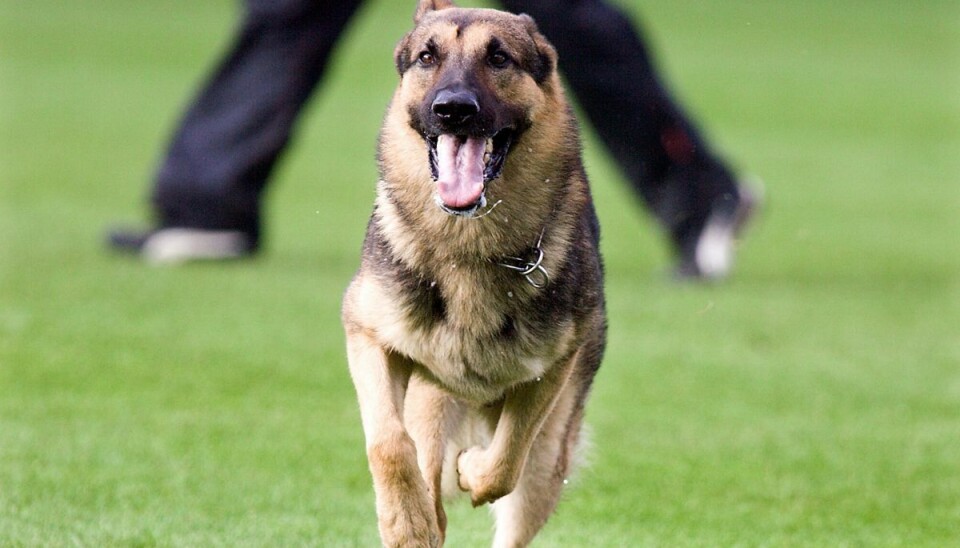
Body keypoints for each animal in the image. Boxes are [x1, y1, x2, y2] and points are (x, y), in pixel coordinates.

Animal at [342, 2, 604, 544]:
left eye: (499, 57)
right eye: (427, 56)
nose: (453, 109)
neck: (467, 248)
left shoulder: (549, 371)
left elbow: (505, 460)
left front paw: (472, 470)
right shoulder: (368, 334)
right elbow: (387, 442)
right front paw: (405, 523)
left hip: (551, 452)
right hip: (430, 401)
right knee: (424, 467)